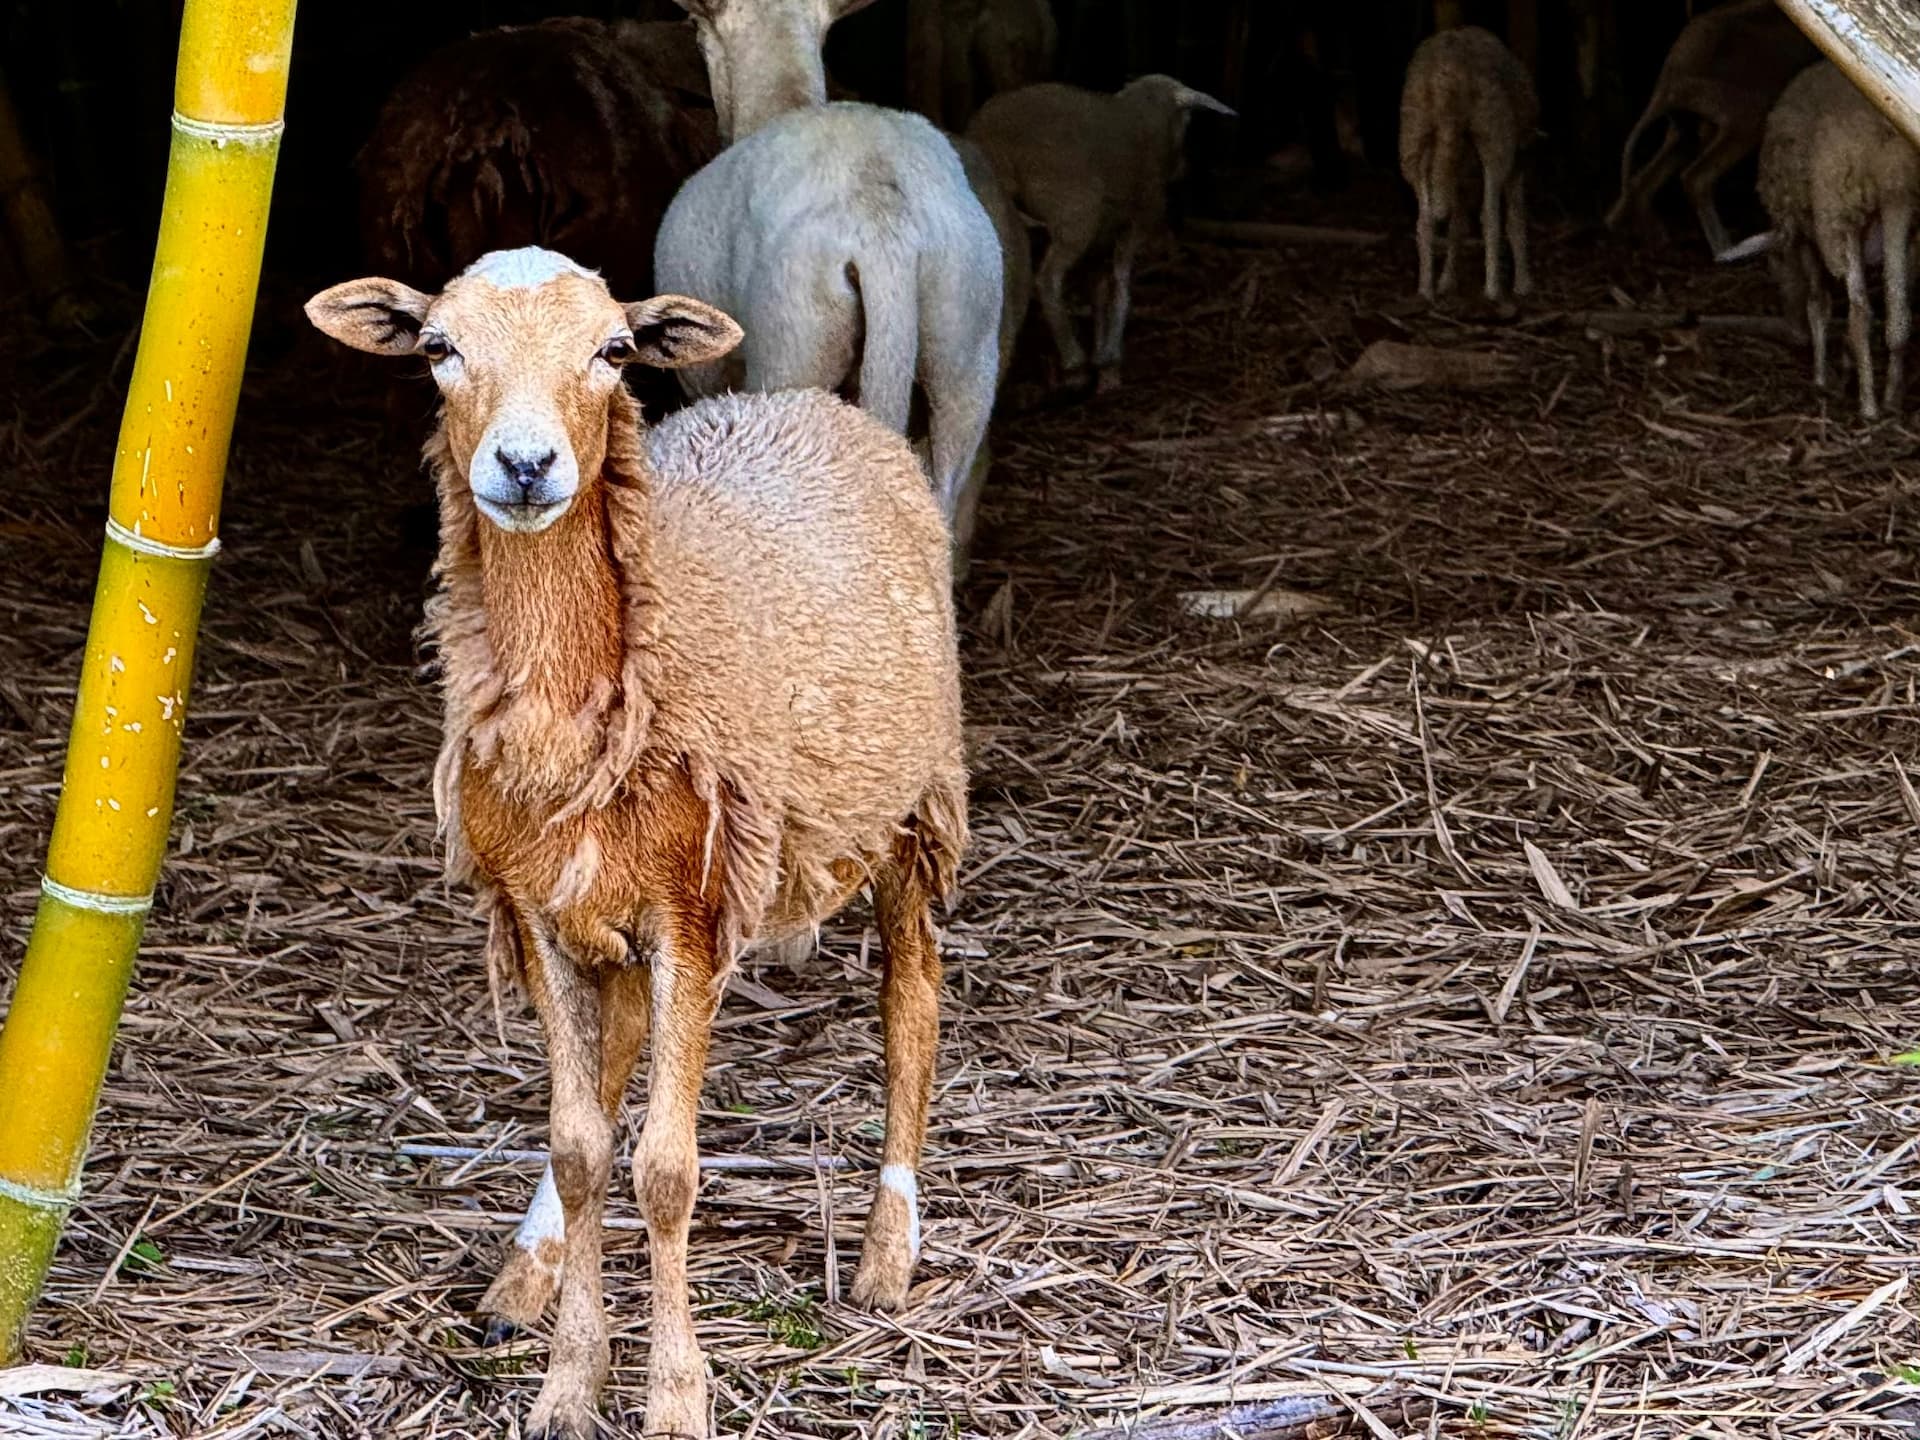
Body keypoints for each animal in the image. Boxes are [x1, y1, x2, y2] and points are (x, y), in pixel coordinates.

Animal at [305, 247, 968, 1440]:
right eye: (439, 348)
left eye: (612, 352)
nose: (526, 465)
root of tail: (807, 401)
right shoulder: (538, 908)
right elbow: (580, 1150)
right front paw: (570, 1383)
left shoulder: (691, 914)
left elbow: (666, 1172)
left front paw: (673, 1398)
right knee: (609, 1072)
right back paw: (525, 1273)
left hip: (912, 798)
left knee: (914, 1000)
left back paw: (888, 1252)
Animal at [966, 76, 1235, 394]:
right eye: (1187, 120)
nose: (1185, 167)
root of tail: (991, 137)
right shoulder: (1138, 221)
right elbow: (1121, 285)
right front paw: (1109, 359)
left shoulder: (1102, 238)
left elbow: (1099, 288)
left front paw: (1104, 365)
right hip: (1077, 212)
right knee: (1047, 279)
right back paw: (1073, 363)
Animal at [1398, 26, 1537, 303]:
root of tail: (1444, 79)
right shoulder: (1518, 161)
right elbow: (1515, 218)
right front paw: (1523, 284)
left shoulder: (1458, 176)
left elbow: (1456, 226)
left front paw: (1446, 280)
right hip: (1493, 129)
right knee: (1490, 214)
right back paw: (1493, 290)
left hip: (1414, 132)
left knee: (1425, 219)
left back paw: (1425, 289)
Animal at [1605, 0, 1817, 257]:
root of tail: (1671, 78)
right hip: (1743, 113)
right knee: (1694, 177)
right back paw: (1725, 248)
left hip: (1686, 126)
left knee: (1645, 178)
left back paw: (1652, 236)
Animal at [1737, 63, 1920, 419]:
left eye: (1773, 266)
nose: (1793, 334)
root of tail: (1879, 142)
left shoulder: (1806, 232)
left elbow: (1817, 303)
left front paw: (1822, 377)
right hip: (1898, 200)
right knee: (1897, 310)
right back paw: (1891, 401)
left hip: (1837, 209)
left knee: (1860, 310)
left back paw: (1868, 407)